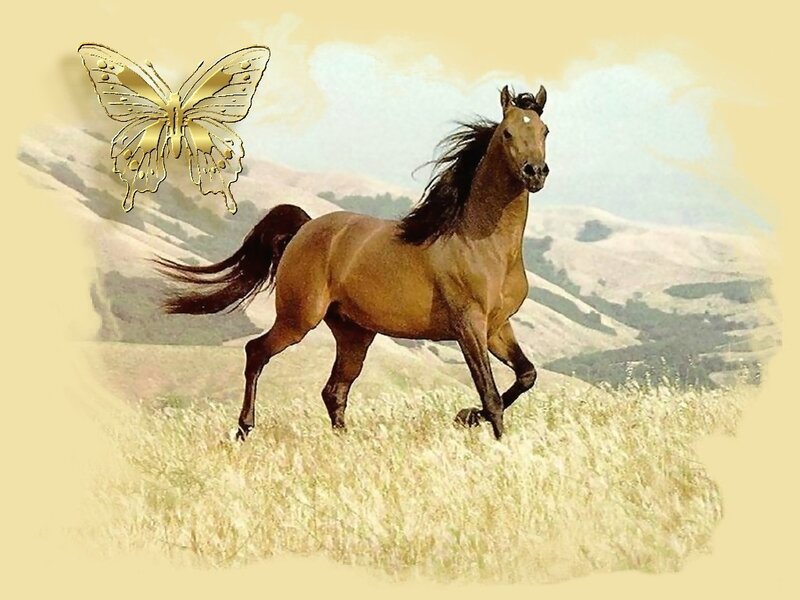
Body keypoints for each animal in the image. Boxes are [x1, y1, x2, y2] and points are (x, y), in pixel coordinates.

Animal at [156, 84, 550, 441]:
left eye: (544, 130)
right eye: (508, 132)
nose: (535, 172)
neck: (482, 244)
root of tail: (306, 228)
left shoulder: (497, 327)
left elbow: (526, 375)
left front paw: (466, 416)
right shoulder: (469, 326)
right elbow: (491, 393)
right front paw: (490, 435)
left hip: (354, 333)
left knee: (333, 391)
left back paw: (344, 442)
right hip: (299, 319)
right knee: (257, 352)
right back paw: (244, 429)